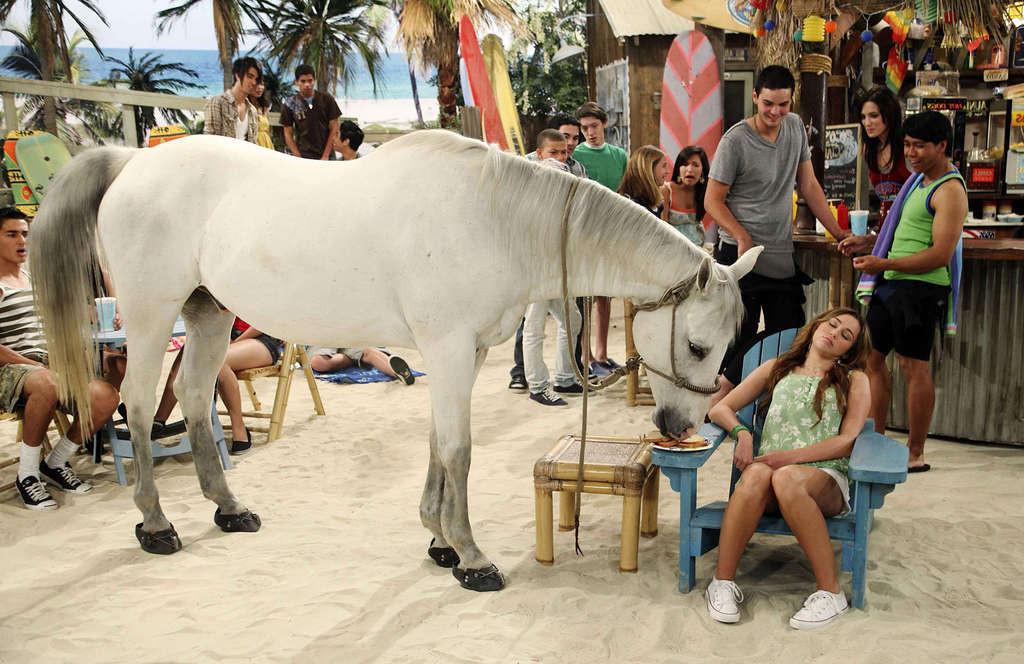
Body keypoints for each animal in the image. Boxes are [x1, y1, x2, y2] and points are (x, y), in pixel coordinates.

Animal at [30, 130, 760, 591]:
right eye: (698, 345)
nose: (677, 427)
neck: (495, 219)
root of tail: (132, 162)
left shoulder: (462, 352)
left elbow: (440, 444)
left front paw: (438, 539)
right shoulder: (449, 349)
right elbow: (460, 450)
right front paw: (470, 556)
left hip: (207, 314)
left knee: (193, 399)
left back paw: (228, 508)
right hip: (152, 318)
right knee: (140, 408)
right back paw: (156, 523)